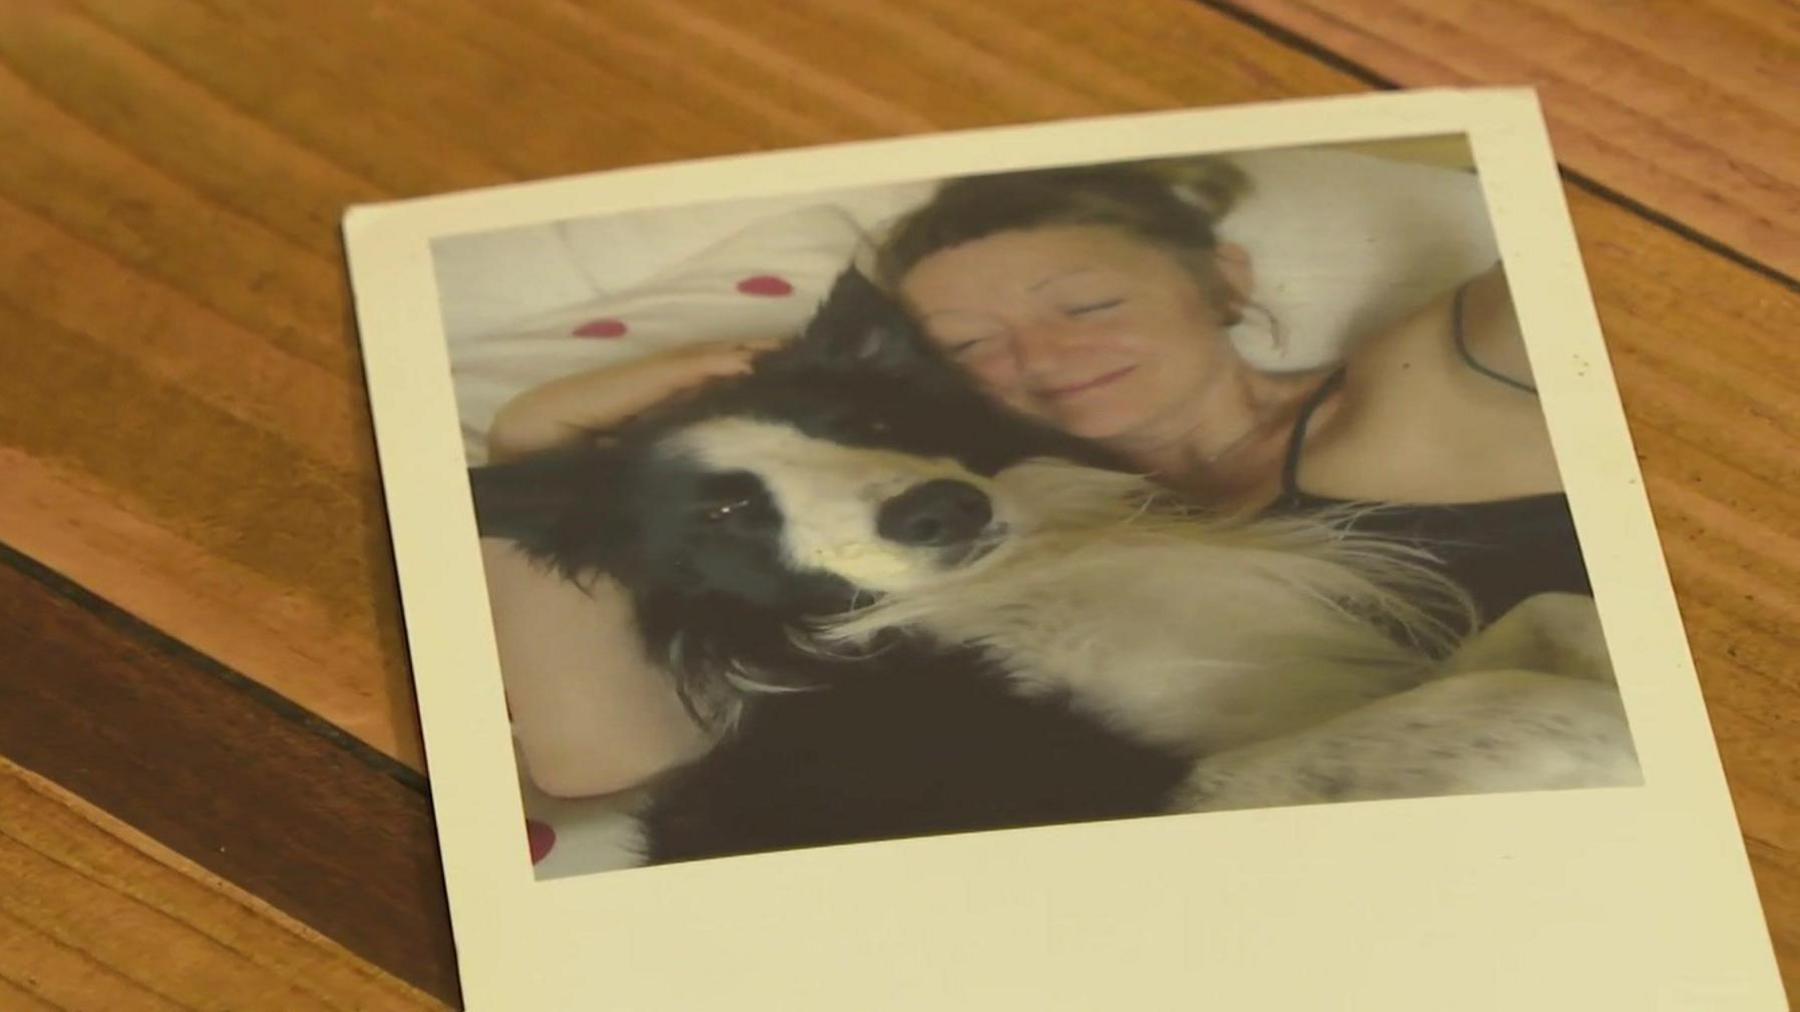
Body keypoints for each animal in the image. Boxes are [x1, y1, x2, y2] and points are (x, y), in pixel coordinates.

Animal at [471, 270, 1641, 867]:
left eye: (866, 422)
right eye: (725, 509)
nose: (941, 507)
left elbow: (1547, 616)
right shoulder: (1152, 798)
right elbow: (1496, 704)